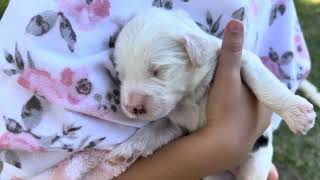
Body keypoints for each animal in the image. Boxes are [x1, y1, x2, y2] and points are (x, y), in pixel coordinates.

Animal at [110, 7, 316, 179]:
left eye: (157, 70)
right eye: (121, 75)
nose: (133, 108)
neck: (190, 96)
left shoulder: (245, 60)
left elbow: (265, 84)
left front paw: (297, 113)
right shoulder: (176, 123)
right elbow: (152, 130)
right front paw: (126, 150)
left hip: (255, 164)